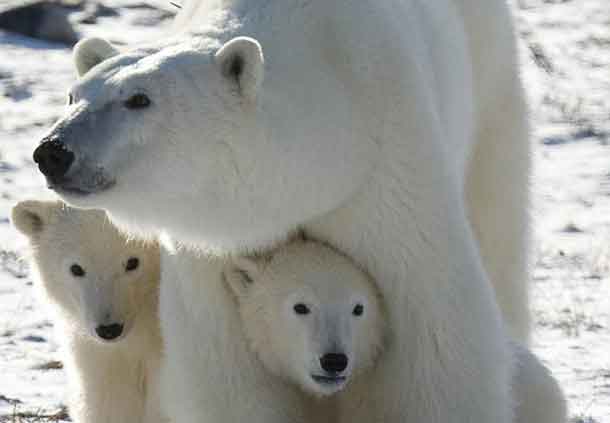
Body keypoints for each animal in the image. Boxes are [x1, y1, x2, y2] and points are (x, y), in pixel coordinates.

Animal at [34, 1, 536, 422]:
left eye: (139, 99)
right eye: (73, 95)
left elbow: (439, 333)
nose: (52, 152)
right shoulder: (212, 246)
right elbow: (225, 372)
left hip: (488, 86)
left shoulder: (386, 167)